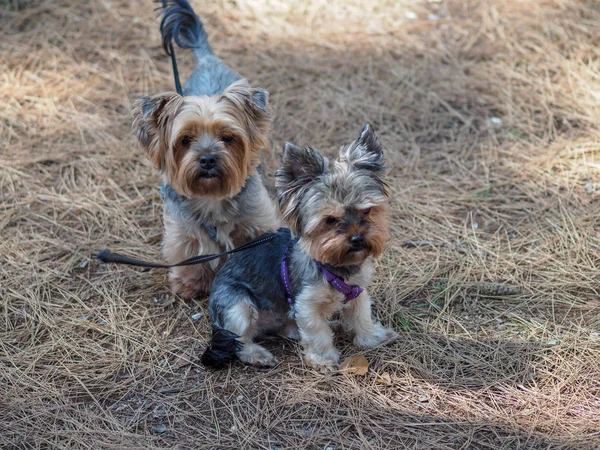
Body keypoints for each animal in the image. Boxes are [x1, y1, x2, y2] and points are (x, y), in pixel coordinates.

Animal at [132, 0, 278, 298]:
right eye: (185, 140)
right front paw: (190, 284)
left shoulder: (258, 222)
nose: (208, 159)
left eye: (228, 138)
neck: (211, 196)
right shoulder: (184, 231)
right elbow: (190, 254)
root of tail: (209, 60)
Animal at [202, 125, 398, 370]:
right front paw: (324, 359)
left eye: (367, 211)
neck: (334, 266)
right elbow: (317, 333)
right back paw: (257, 354)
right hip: (237, 304)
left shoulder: (358, 291)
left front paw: (372, 337)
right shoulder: (306, 304)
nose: (357, 239)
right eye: (330, 220)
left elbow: (362, 315)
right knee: (239, 339)